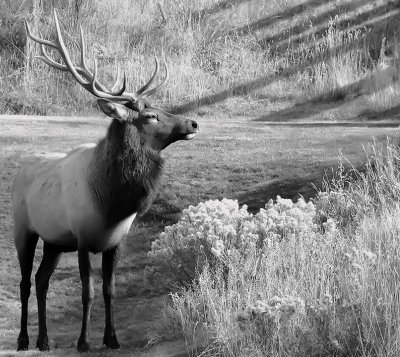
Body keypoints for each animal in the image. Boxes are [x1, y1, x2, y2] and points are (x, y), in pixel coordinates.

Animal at [13, 9, 198, 352]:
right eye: (150, 116)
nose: (193, 122)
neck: (111, 206)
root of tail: (23, 166)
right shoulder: (83, 238)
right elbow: (87, 293)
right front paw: (83, 342)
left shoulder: (115, 242)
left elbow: (109, 291)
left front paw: (112, 339)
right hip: (23, 229)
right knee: (24, 282)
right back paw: (23, 340)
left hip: (54, 241)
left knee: (42, 280)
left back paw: (44, 340)